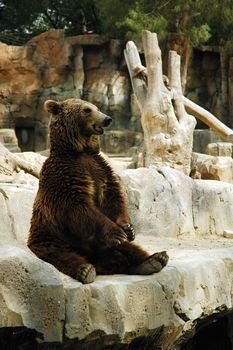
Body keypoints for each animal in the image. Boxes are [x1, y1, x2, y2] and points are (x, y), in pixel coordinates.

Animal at [28, 98, 168, 282]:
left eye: (97, 107)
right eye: (87, 110)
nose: (107, 119)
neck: (78, 150)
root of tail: (98, 261)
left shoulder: (100, 169)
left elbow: (113, 197)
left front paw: (128, 228)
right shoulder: (65, 176)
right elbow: (79, 206)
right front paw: (117, 232)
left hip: (99, 244)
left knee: (127, 249)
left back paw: (154, 260)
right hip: (51, 237)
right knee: (60, 254)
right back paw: (85, 269)